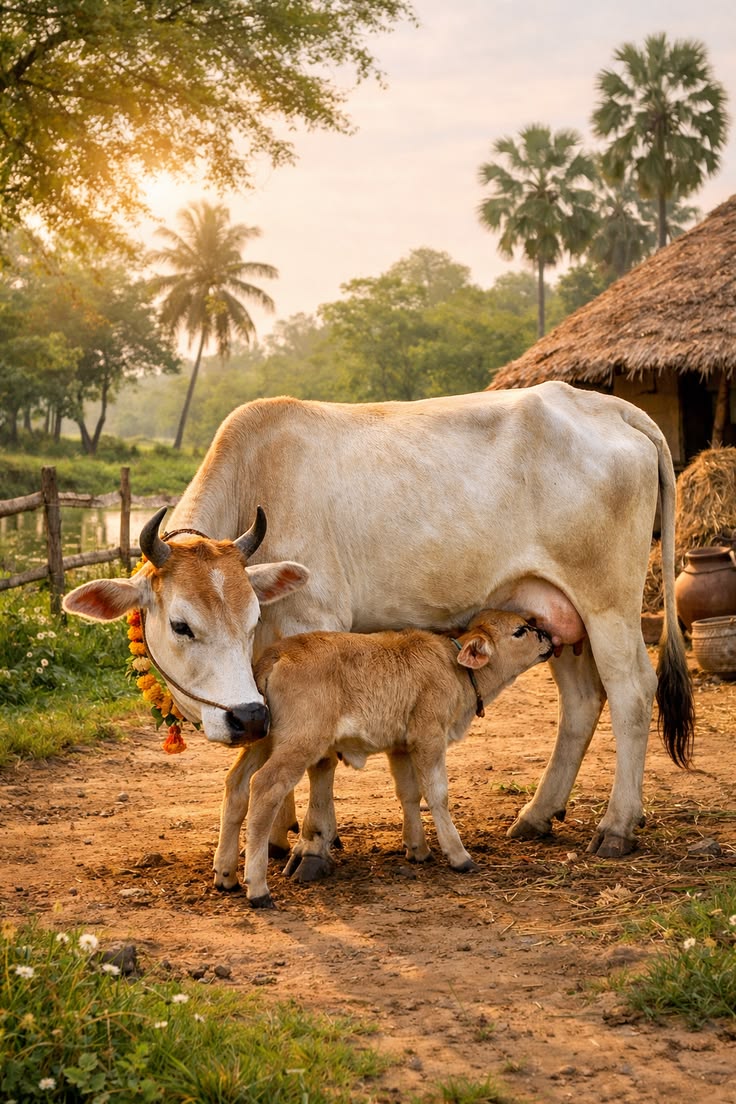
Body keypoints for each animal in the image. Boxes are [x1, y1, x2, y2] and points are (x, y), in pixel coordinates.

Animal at [217, 609, 554, 906]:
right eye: (520, 631)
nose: (549, 637)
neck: (453, 668)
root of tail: (277, 654)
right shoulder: (428, 736)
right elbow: (437, 795)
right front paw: (459, 856)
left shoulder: (401, 747)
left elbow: (409, 793)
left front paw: (418, 848)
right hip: (299, 743)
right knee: (264, 787)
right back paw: (258, 889)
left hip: (263, 740)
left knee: (237, 783)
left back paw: (225, 875)